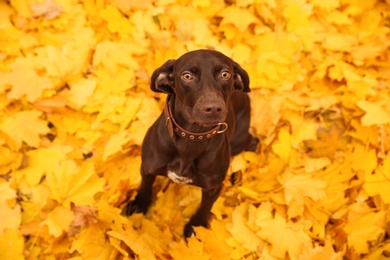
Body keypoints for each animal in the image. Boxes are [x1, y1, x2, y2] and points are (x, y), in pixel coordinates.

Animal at [120, 48, 258, 238]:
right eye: (187, 76)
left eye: (225, 74)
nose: (213, 108)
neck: (192, 137)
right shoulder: (147, 168)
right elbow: (145, 188)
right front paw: (139, 205)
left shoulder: (212, 187)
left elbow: (205, 208)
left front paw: (196, 227)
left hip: (238, 140)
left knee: (252, 142)